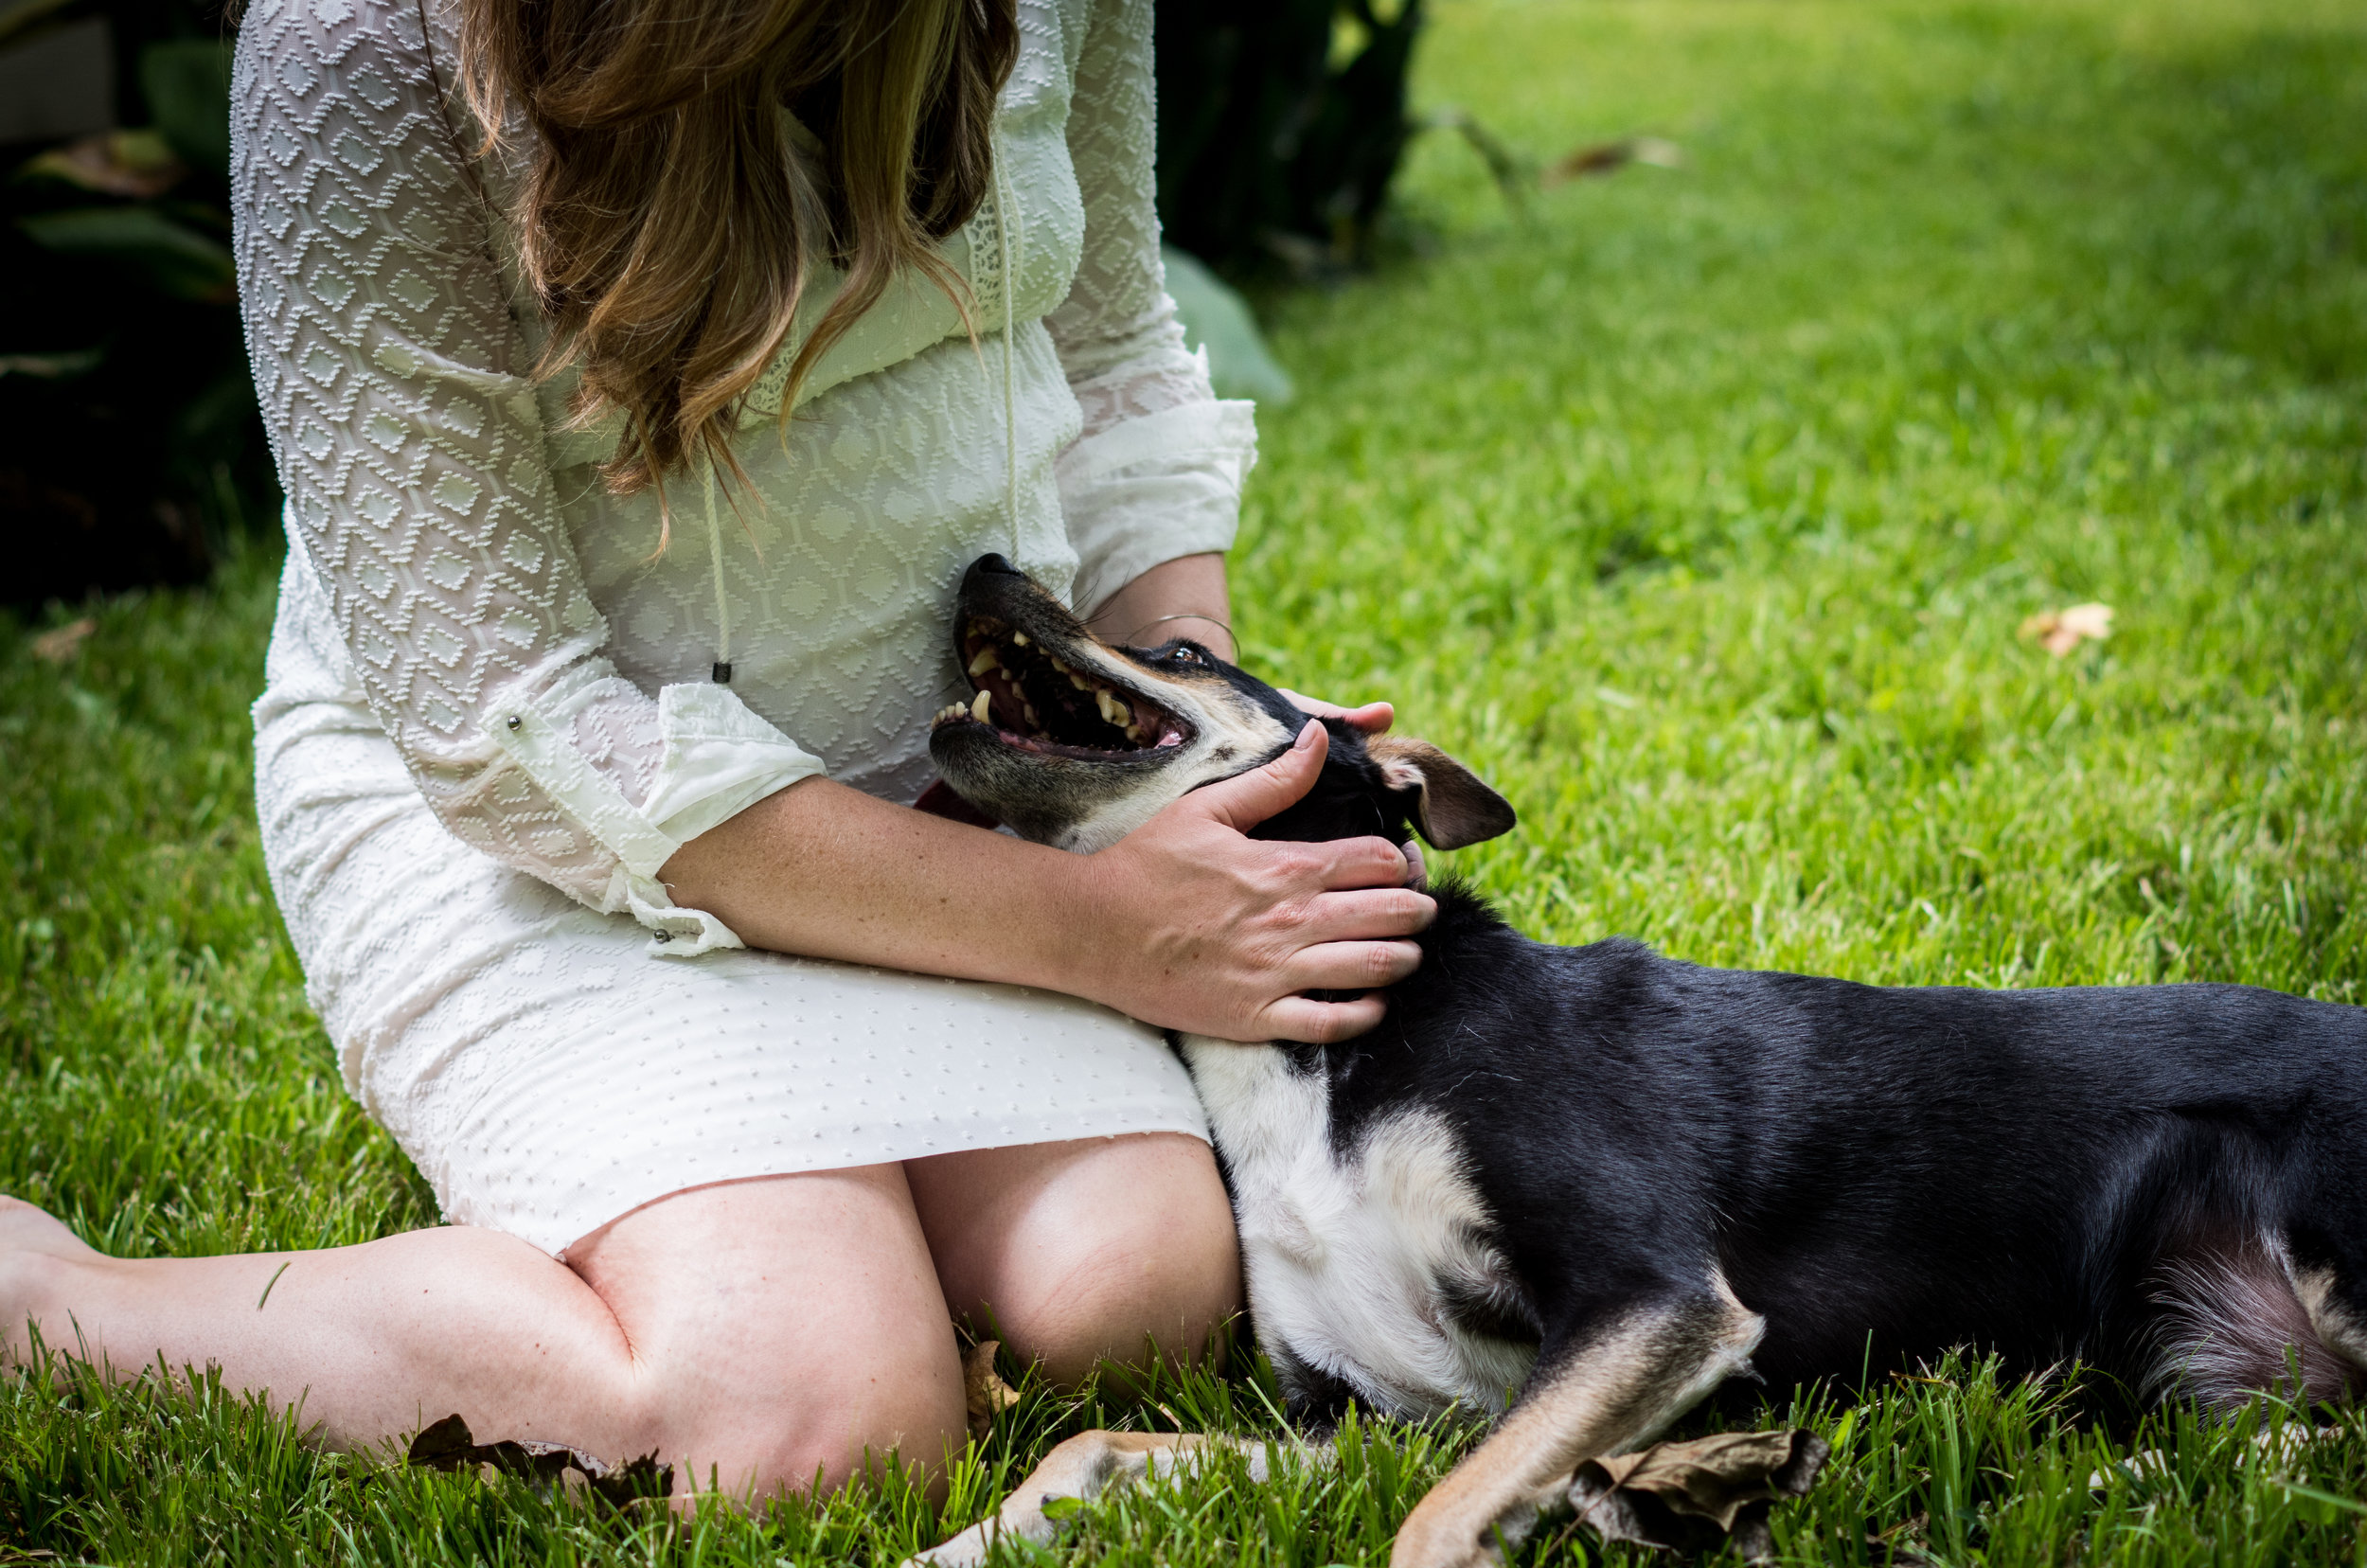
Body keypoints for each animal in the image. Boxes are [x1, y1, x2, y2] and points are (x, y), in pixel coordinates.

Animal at [916, 553, 2367, 1568]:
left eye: (1172, 649)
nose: (978, 565)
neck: (1317, 1048)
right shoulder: (1370, 1422)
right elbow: (1089, 1448)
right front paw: (956, 1546)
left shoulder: (1651, 1302)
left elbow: (1431, 1525)